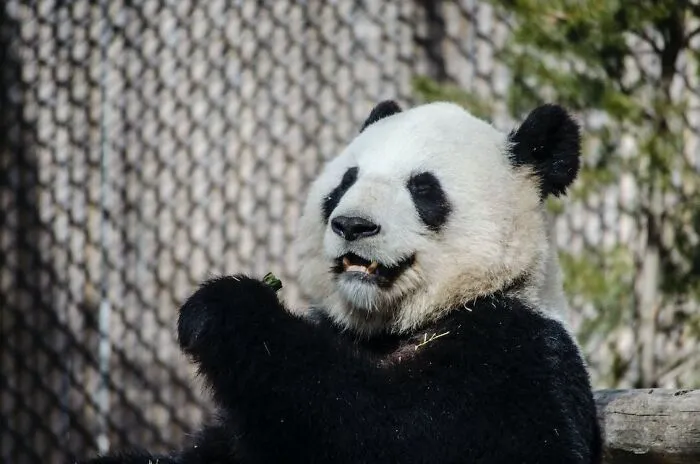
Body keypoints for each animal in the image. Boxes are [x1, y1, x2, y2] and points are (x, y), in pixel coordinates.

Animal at [81, 101, 601, 463]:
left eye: (423, 188)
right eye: (345, 182)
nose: (353, 225)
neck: (396, 326)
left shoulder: (516, 357)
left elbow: (387, 432)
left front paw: (225, 310)